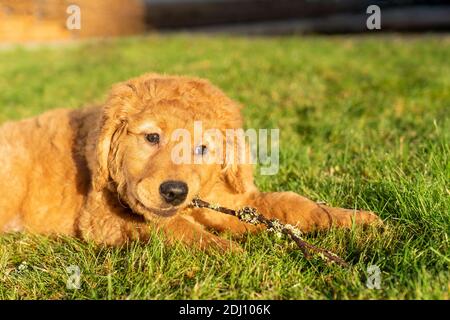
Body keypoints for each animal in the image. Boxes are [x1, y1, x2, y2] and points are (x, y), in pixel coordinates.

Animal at [0, 73, 380, 250]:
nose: (173, 192)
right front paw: (227, 253)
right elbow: (174, 227)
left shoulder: (230, 199)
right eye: (152, 138)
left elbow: (291, 204)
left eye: (202, 148)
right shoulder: (102, 217)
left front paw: (355, 219)